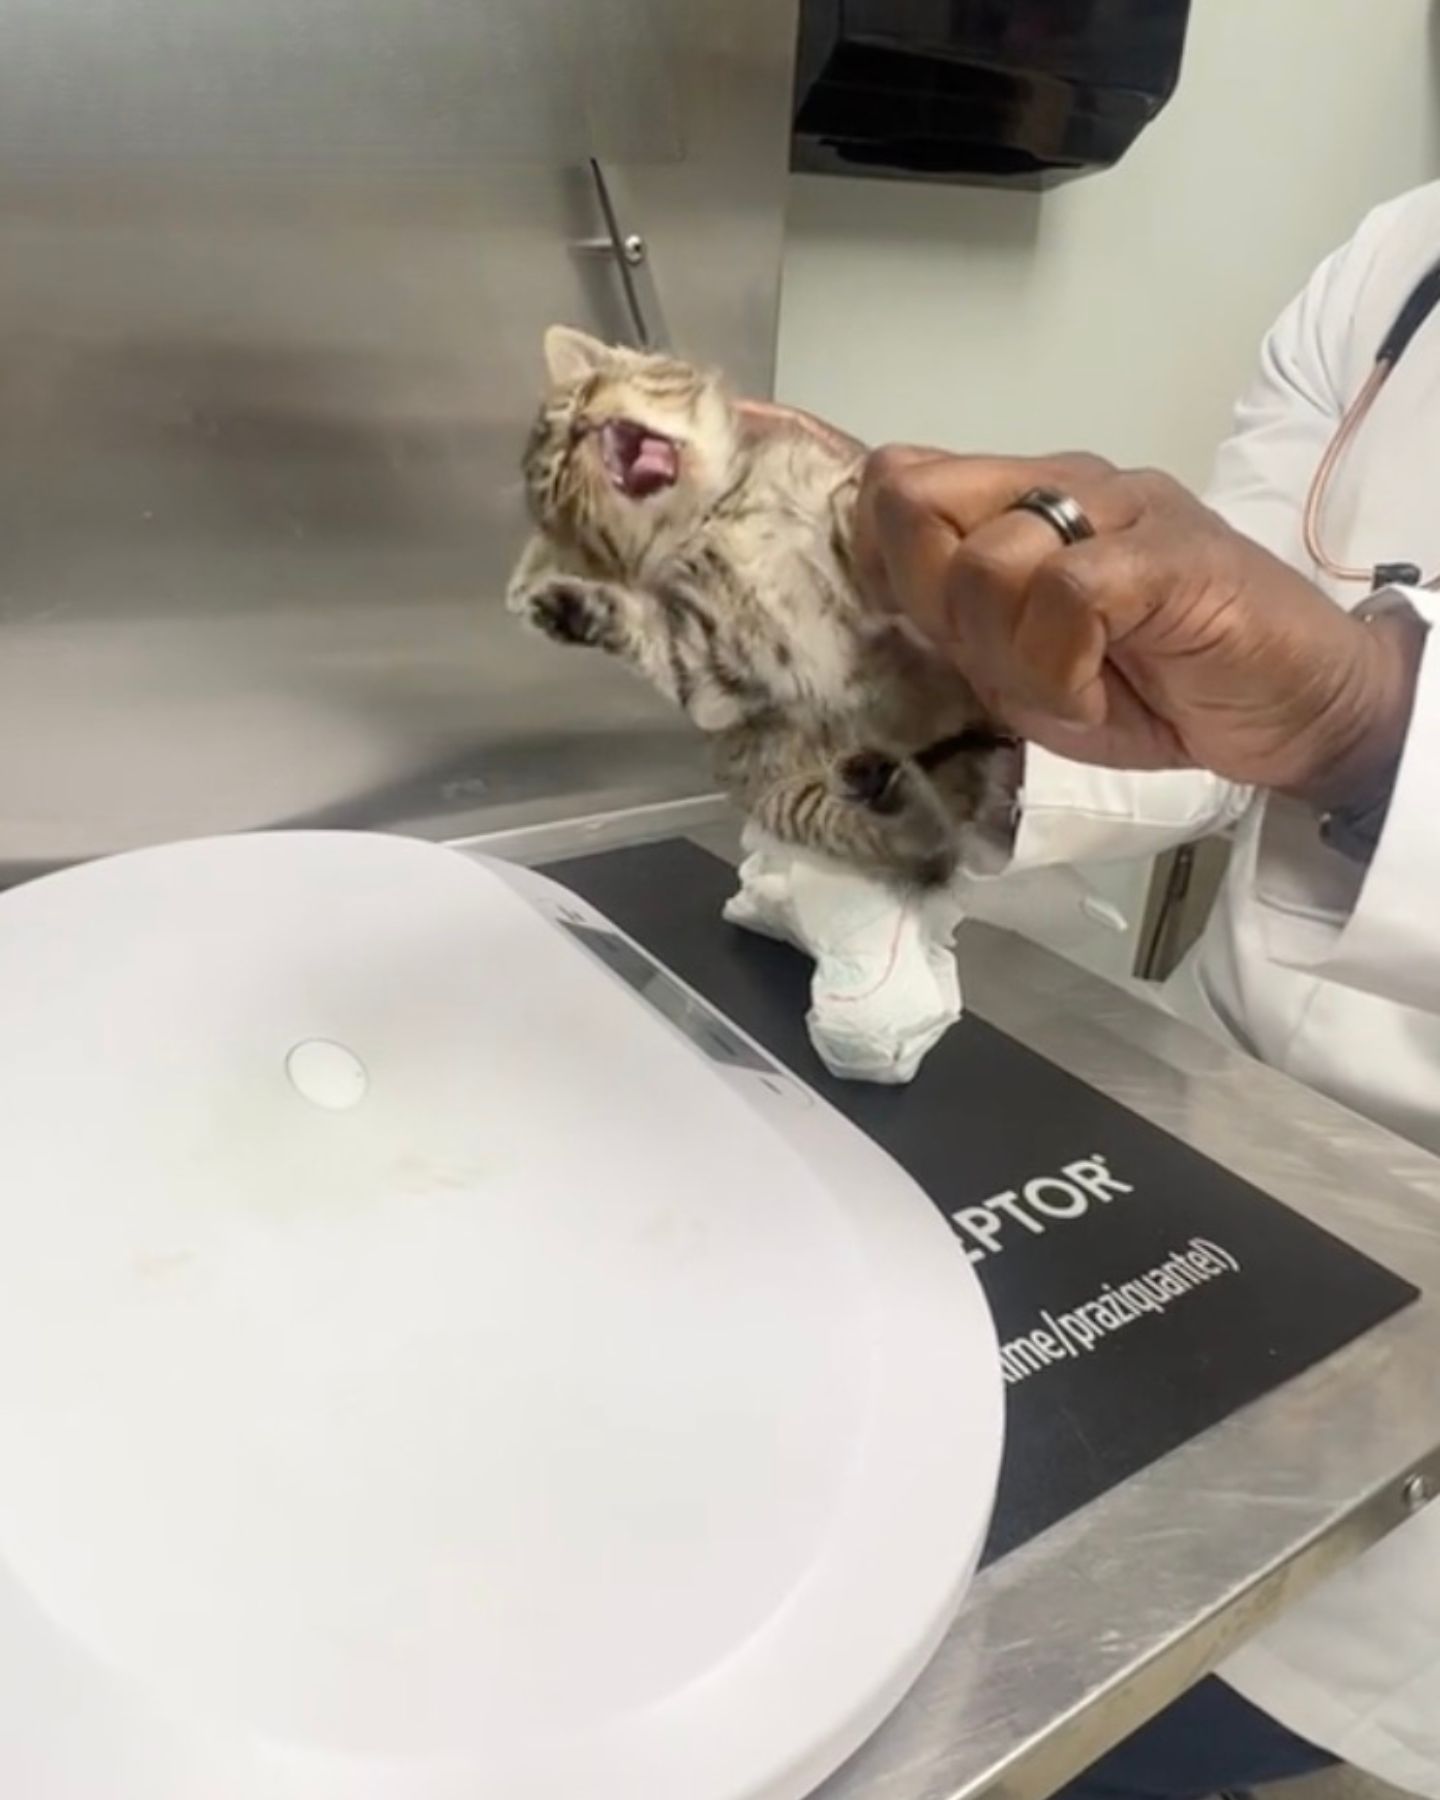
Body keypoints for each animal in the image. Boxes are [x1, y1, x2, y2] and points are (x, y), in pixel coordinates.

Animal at [507, 331, 1015, 892]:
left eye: (585, 393)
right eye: (558, 472)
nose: (581, 424)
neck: (713, 515)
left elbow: (853, 509)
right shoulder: (711, 664)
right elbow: (658, 642)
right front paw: (569, 607)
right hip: (787, 792)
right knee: (924, 851)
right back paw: (889, 794)